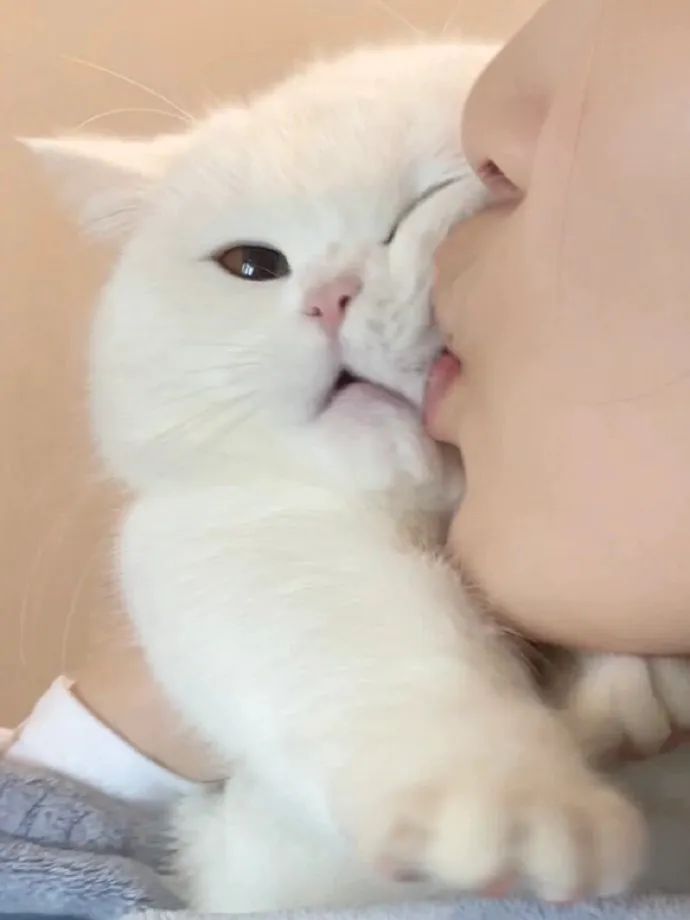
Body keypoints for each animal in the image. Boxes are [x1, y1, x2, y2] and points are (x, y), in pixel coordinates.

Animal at [27, 40, 687, 913]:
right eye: (251, 264)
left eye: (431, 198)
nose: (330, 298)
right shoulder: (231, 536)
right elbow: (390, 654)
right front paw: (514, 797)